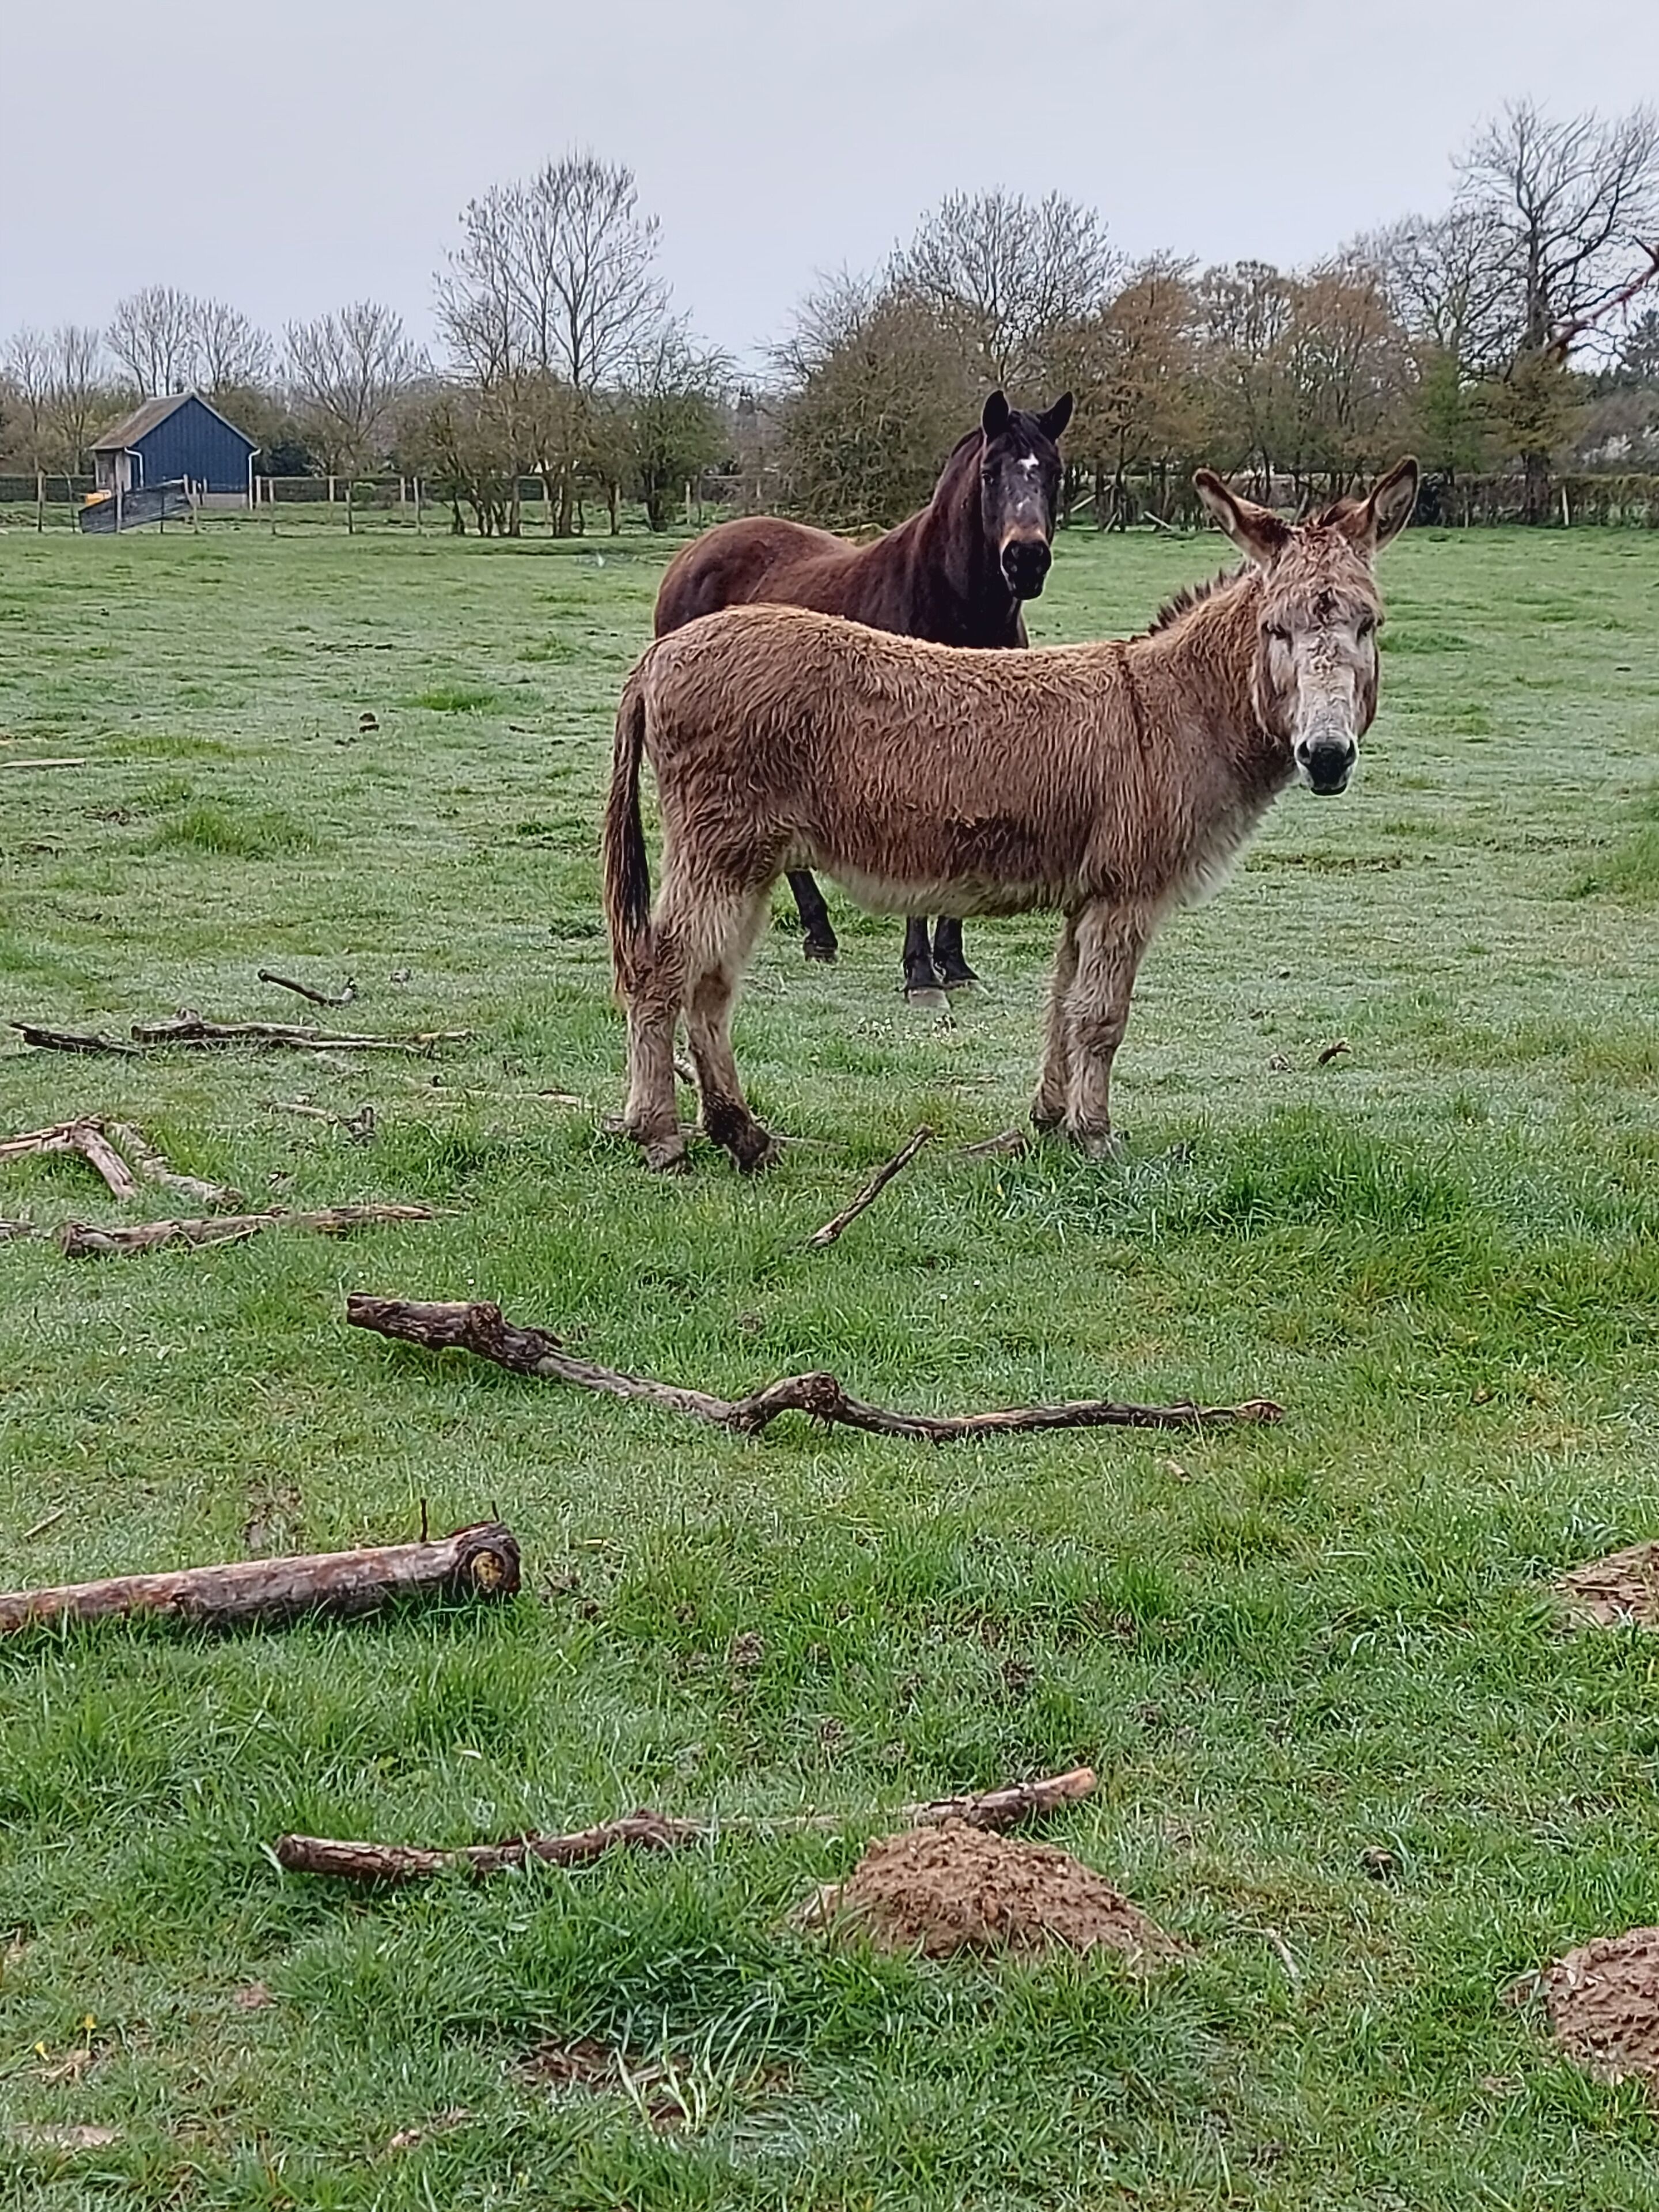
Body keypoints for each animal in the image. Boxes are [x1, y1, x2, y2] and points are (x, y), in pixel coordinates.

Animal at [602, 458, 1418, 1174]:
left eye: (1370, 626)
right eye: (1276, 630)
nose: (1327, 757)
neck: (1175, 710)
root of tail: (658, 656)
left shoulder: (1088, 897)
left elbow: (1062, 1005)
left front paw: (1051, 1121)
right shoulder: (1128, 894)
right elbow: (1103, 1019)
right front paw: (1097, 1139)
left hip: (748, 858)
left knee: (710, 986)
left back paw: (743, 1136)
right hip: (721, 850)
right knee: (659, 972)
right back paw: (660, 1137)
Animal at [652, 389, 1073, 1006]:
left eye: (1056, 473)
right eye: (990, 473)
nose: (1026, 560)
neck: (950, 602)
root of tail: (692, 554)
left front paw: (955, 963)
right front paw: (922, 974)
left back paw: (819, 933)